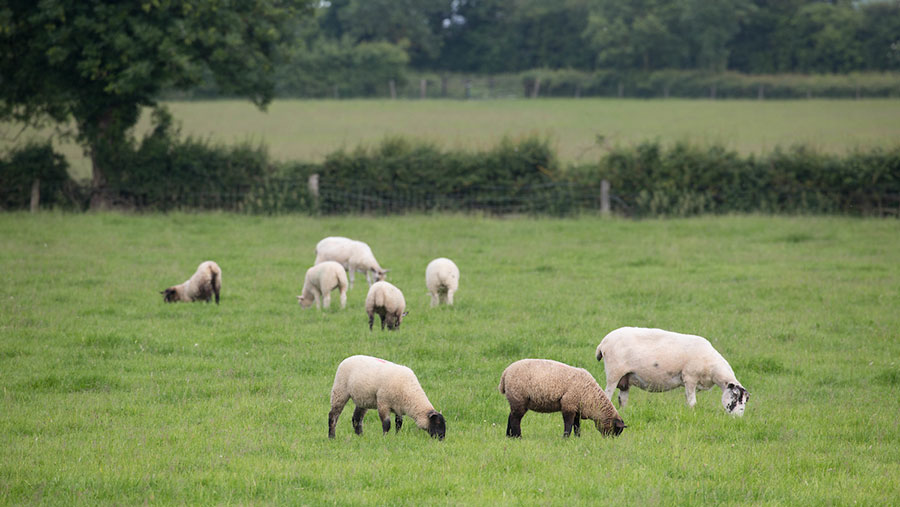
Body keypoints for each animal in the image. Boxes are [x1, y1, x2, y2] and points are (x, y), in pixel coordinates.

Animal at [596, 327, 750, 416]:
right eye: (736, 397)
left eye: (746, 400)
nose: (738, 418)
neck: (712, 369)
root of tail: (603, 342)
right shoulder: (690, 377)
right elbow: (692, 402)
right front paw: (691, 414)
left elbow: (688, 399)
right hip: (614, 372)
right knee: (607, 395)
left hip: (625, 378)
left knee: (622, 399)